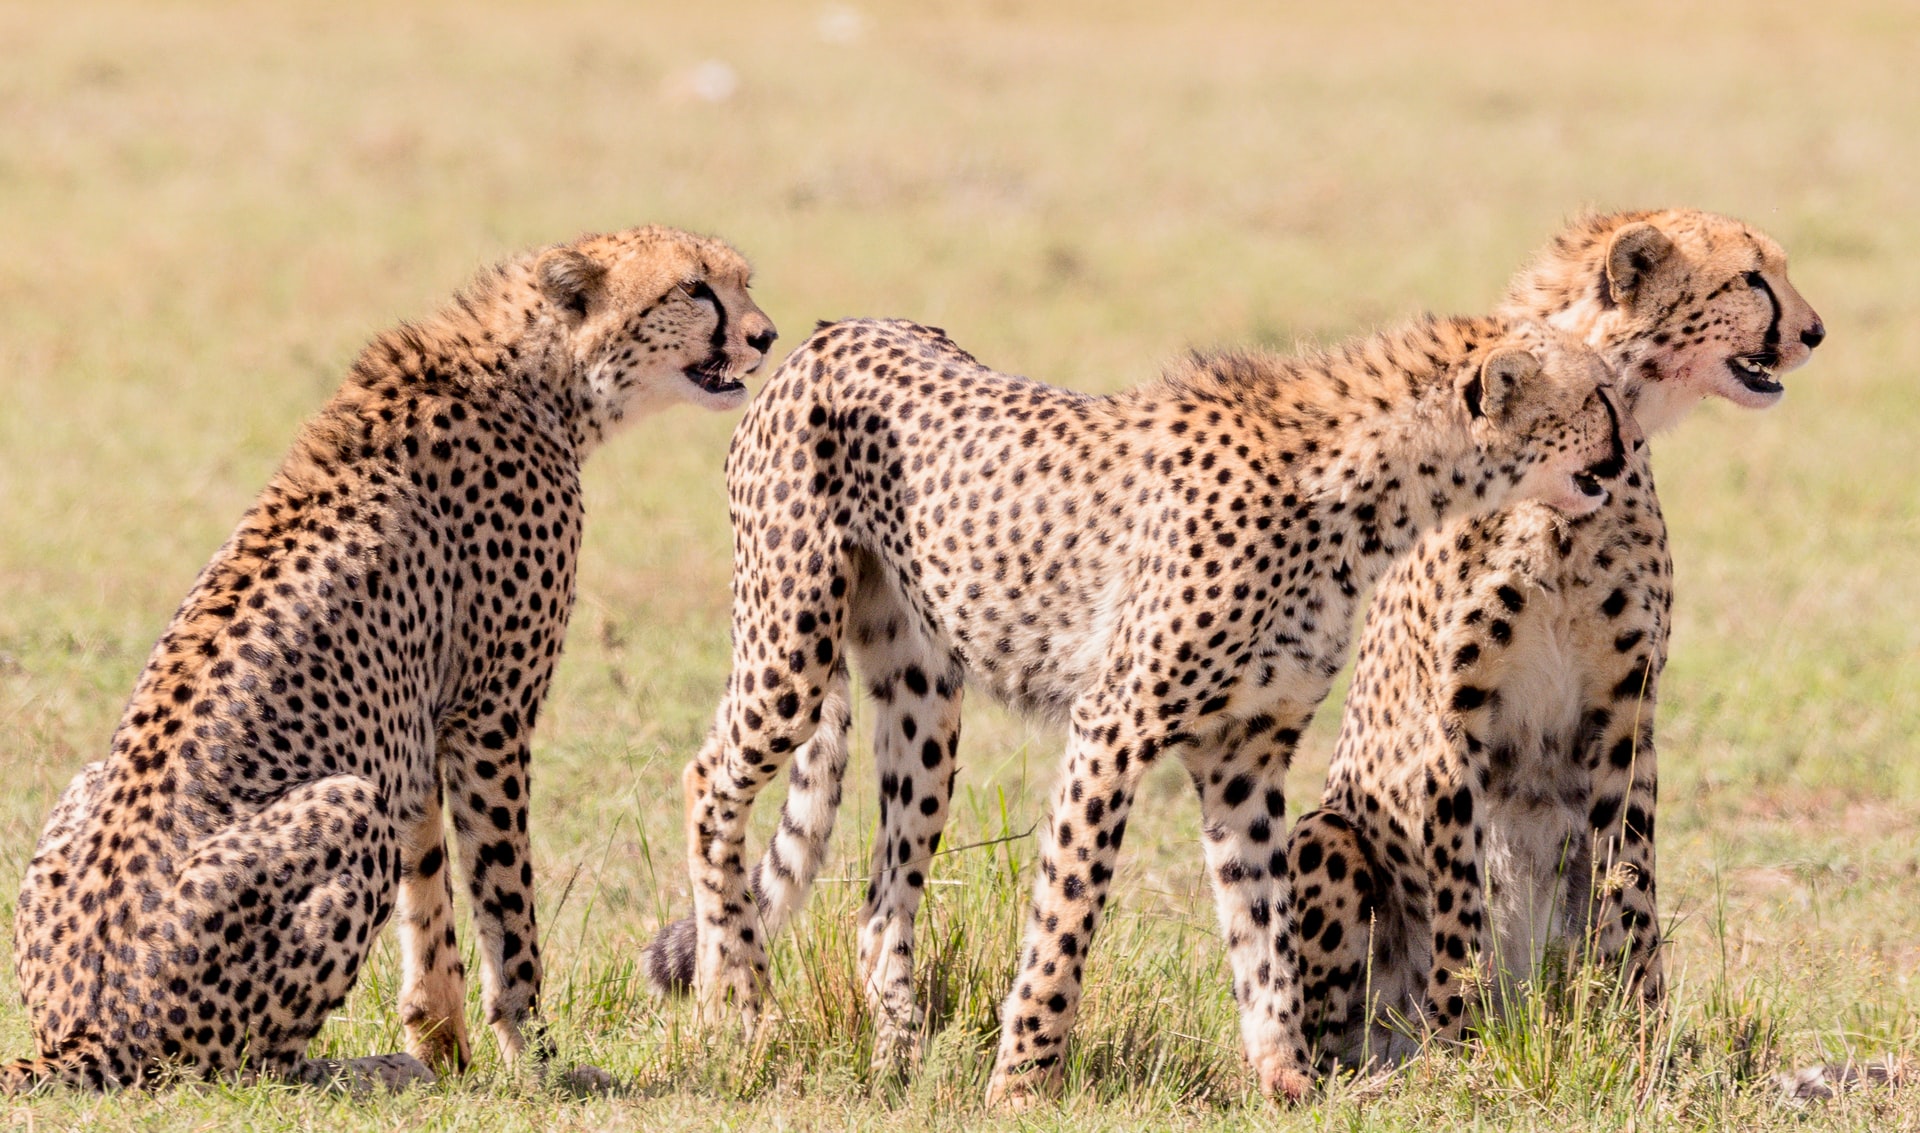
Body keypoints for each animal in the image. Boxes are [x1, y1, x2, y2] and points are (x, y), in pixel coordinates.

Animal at [9, 228, 771, 1090]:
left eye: (742, 280)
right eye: (694, 289)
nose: (765, 334)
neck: (536, 372)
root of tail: (78, 1032)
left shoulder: (416, 726)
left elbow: (429, 881)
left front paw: (446, 1046)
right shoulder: (489, 716)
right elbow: (505, 903)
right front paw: (536, 1060)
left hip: (90, 781)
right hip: (341, 810)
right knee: (238, 1065)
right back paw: (359, 1068)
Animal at [652, 313, 1628, 1113]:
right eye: (1599, 397)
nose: (1626, 461)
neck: (1366, 493)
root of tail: (827, 335)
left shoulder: (1244, 752)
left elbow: (1261, 923)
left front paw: (1284, 1073)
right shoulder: (1112, 727)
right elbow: (1067, 915)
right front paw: (1022, 1083)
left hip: (922, 701)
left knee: (882, 895)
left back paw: (898, 1053)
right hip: (791, 642)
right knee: (708, 780)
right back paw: (735, 999)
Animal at [1282, 206, 1820, 1075]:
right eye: (1751, 277)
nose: (1815, 331)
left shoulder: (1624, 711)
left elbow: (1629, 880)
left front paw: (1638, 1032)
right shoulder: (1454, 716)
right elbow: (1460, 892)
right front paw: (1463, 1041)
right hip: (1325, 836)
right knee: (1340, 1022)